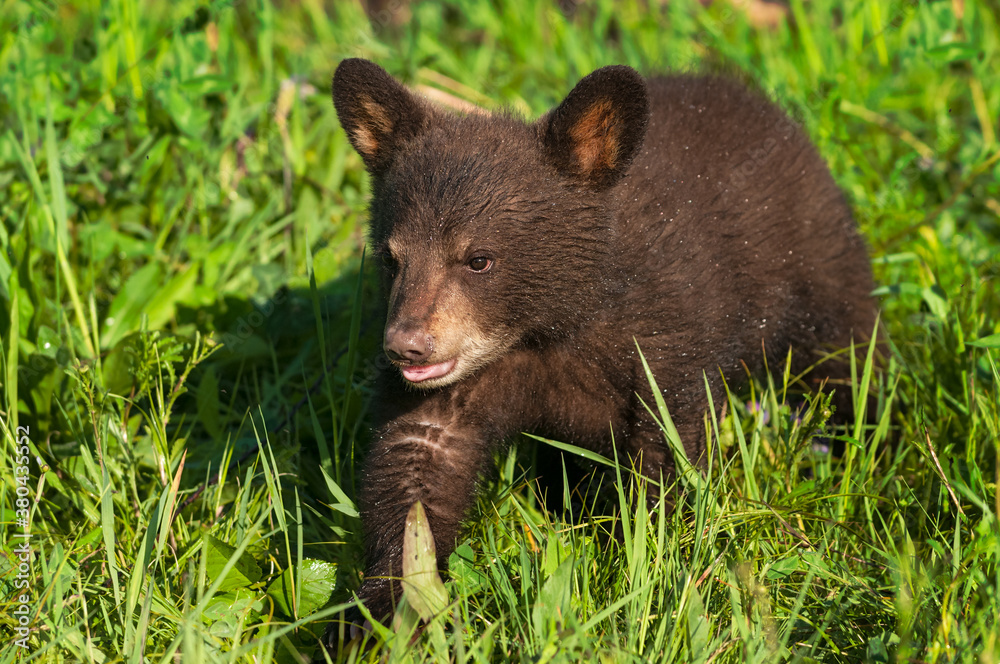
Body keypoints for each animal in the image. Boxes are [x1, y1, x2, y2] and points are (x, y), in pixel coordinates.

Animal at [328, 58, 876, 633]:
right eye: (391, 258)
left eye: (478, 259)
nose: (405, 347)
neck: (546, 330)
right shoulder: (458, 387)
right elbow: (417, 466)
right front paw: (384, 610)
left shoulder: (663, 343)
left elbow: (665, 456)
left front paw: (644, 572)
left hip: (820, 271)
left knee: (848, 361)